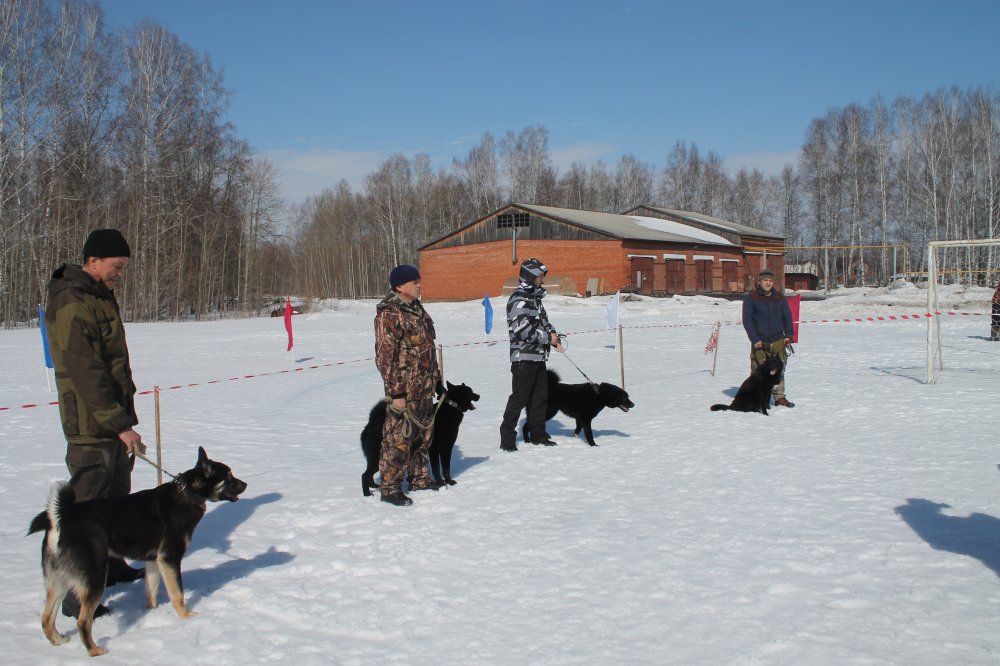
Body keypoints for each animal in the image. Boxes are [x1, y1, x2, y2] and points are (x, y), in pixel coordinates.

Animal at [28, 446, 247, 657]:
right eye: (229, 476)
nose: (245, 484)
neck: (187, 493)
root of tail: (60, 517)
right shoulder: (170, 558)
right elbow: (178, 594)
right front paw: (186, 617)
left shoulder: (153, 561)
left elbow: (151, 592)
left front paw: (153, 612)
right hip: (95, 577)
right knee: (82, 621)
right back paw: (95, 651)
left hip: (59, 580)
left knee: (46, 617)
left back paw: (58, 640)